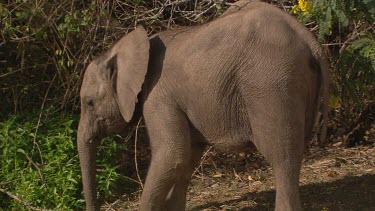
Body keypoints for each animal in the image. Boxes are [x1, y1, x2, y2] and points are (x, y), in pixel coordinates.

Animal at [77, 0, 328, 210]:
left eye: (89, 103)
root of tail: (309, 39)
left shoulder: (158, 95)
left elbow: (172, 155)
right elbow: (187, 158)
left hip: (271, 86)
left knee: (282, 158)